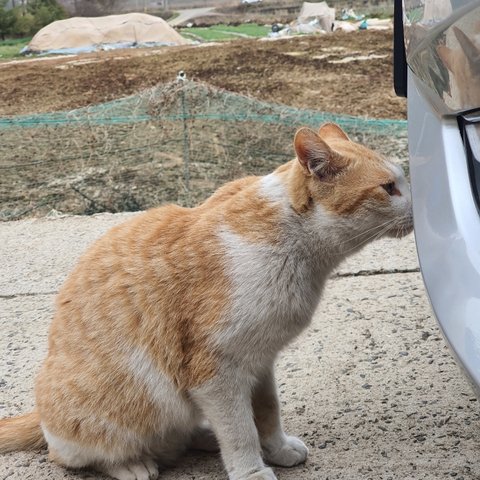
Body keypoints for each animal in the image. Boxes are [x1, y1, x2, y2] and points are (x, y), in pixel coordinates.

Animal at [0, 123, 413, 480]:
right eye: (389, 187)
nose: (420, 203)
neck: (293, 244)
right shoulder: (216, 373)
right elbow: (240, 430)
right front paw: (251, 471)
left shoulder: (261, 362)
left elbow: (266, 413)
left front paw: (277, 449)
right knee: (73, 455)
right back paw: (133, 464)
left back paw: (201, 437)